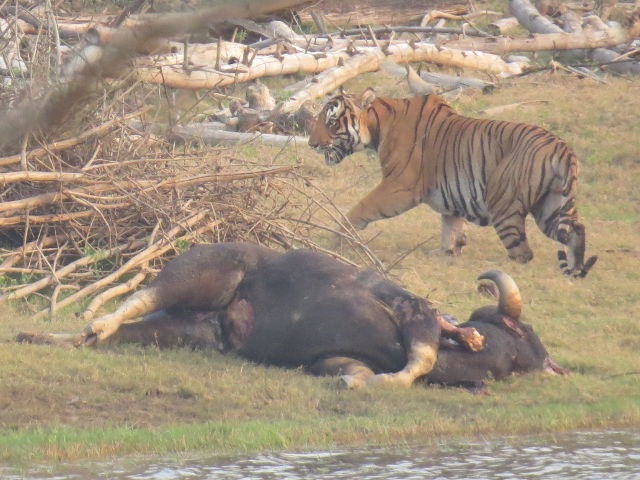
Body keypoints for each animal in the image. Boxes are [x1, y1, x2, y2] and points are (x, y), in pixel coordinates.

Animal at [16, 242, 564, 388]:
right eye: (522, 328)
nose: (551, 362)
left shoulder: (329, 357)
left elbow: (359, 369)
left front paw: (361, 382)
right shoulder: (410, 306)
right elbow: (423, 353)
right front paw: (392, 377)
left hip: (188, 331)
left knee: (127, 330)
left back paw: (45, 338)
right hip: (212, 266)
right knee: (141, 295)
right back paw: (96, 321)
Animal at [308, 88, 596, 280]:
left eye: (331, 121)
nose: (311, 144)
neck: (378, 124)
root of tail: (562, 149)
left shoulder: (400, 186)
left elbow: (360, 208)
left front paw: (339, 237)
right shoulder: (451, 198)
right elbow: (452, 227)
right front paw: (447, 253)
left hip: (504, 202)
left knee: (523, 253)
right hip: (551, 205)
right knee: (576, 229)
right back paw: (576, 269)